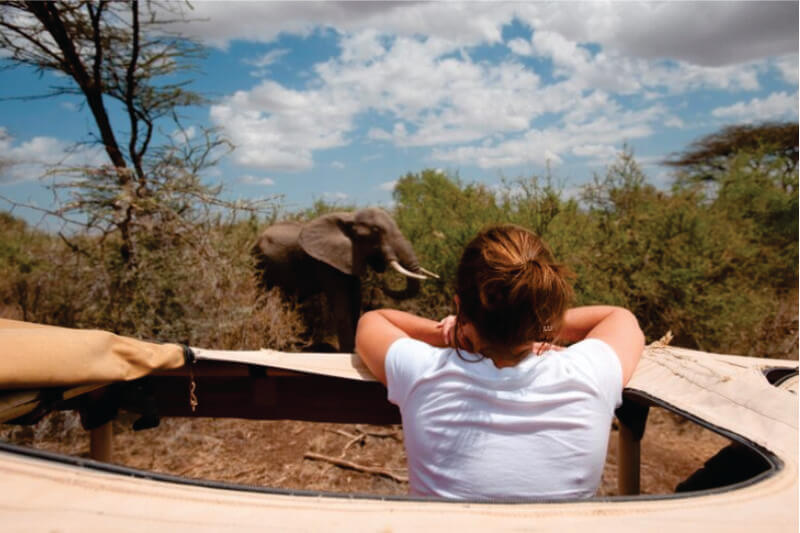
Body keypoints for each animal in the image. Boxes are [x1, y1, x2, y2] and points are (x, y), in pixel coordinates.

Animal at [252, 208, 434, 354]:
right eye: (376, 231)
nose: (381, 280)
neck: (350, 217)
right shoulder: (326, 262)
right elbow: (342, 304)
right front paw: (347, 353)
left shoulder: (349, 257)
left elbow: (355, 300)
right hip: (259, 261)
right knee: (261, 296)